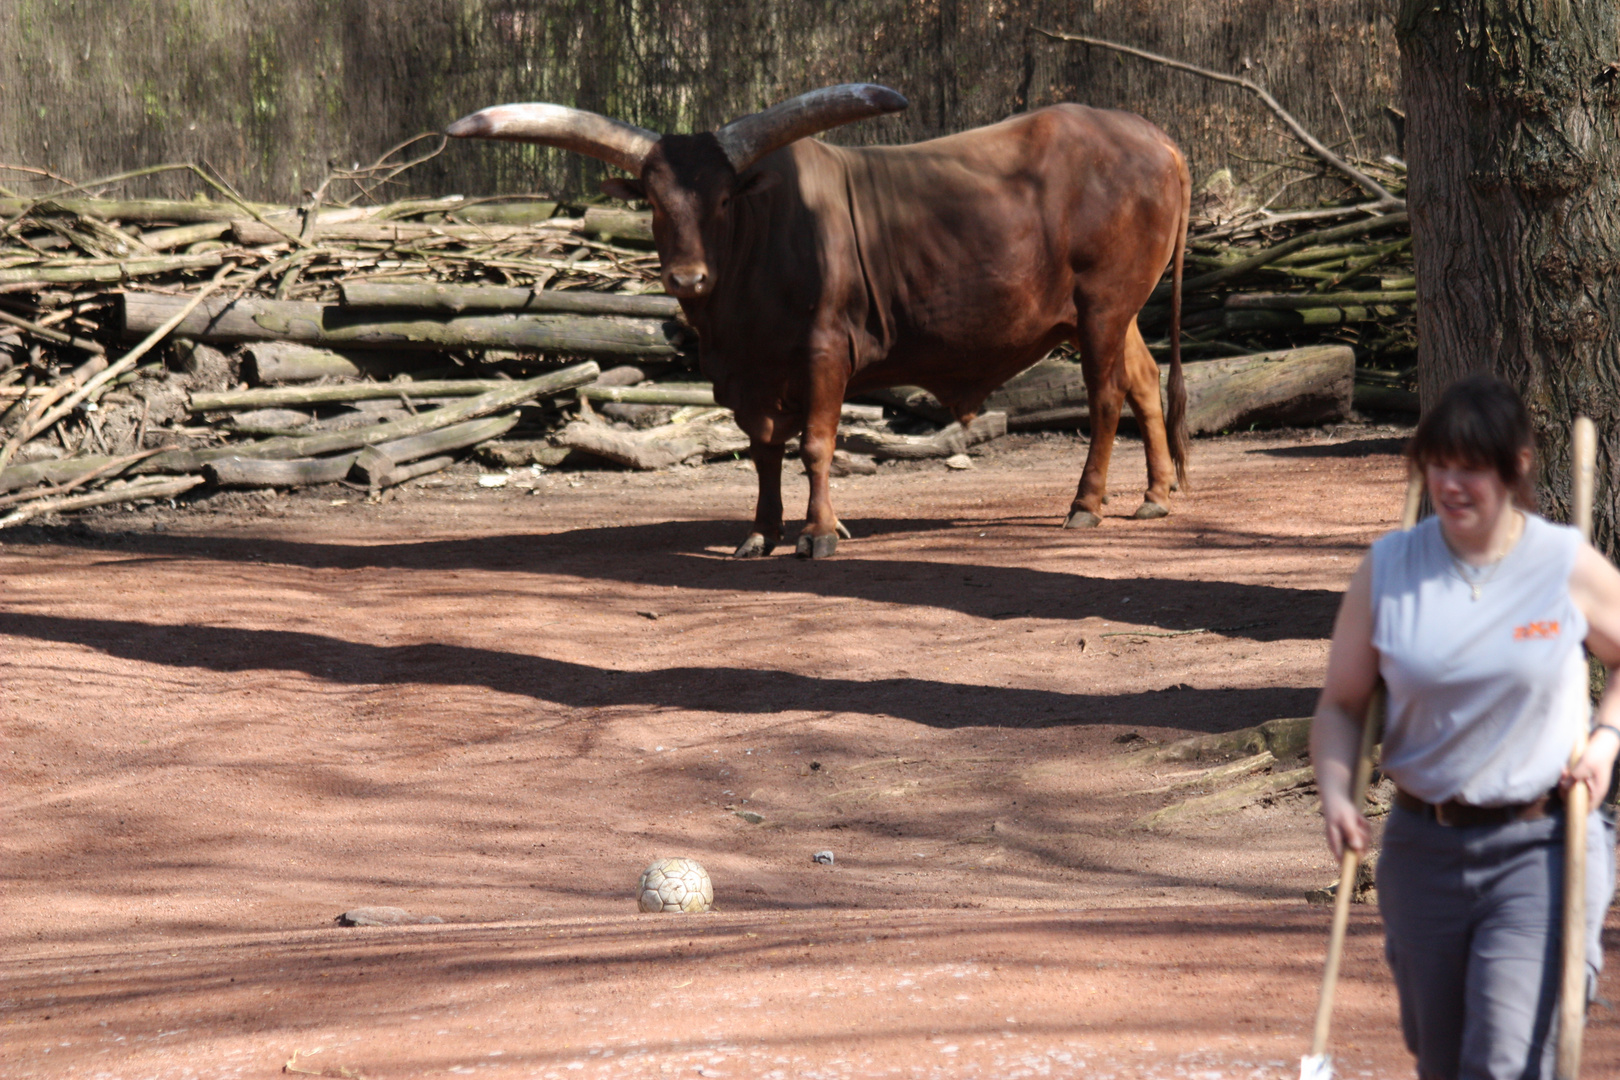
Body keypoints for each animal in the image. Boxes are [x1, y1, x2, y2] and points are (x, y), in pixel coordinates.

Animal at [447, 83, 1192, 557]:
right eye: (654, 203)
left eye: (723, 200)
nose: (687, 278)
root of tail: (1156, 140)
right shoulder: (747, 373)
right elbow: (762, 450)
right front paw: (761, 532)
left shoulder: (826, 352)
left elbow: (814, 445)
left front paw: (820, 532)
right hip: (1117, 311)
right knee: (1144, 380)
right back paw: (1156, 494)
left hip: (1102, 306)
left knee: (1104, 397)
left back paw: (1086, 506)